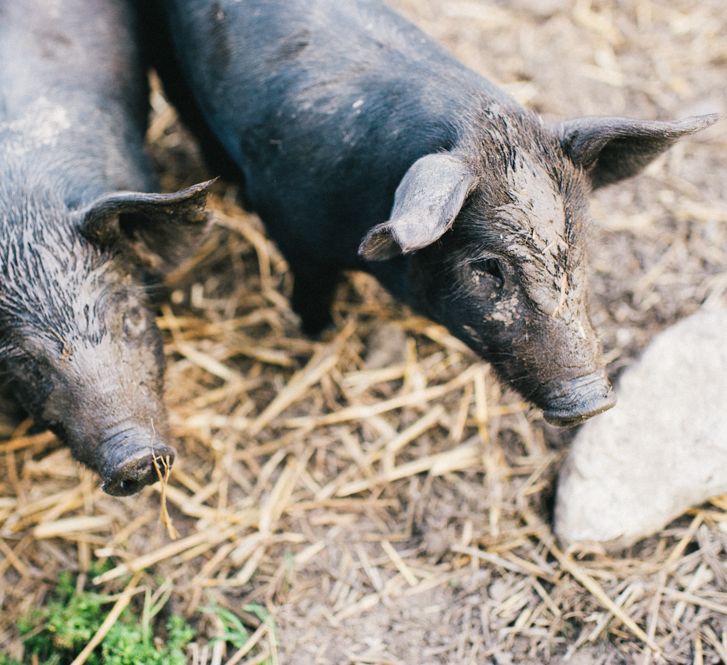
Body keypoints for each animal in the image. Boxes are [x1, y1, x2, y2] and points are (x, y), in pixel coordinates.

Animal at [149, 0, 716, 426]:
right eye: (487, 266)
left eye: (576, 248)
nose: (592, 400)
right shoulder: (292, 228)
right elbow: (312, 288)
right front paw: (319, 333)